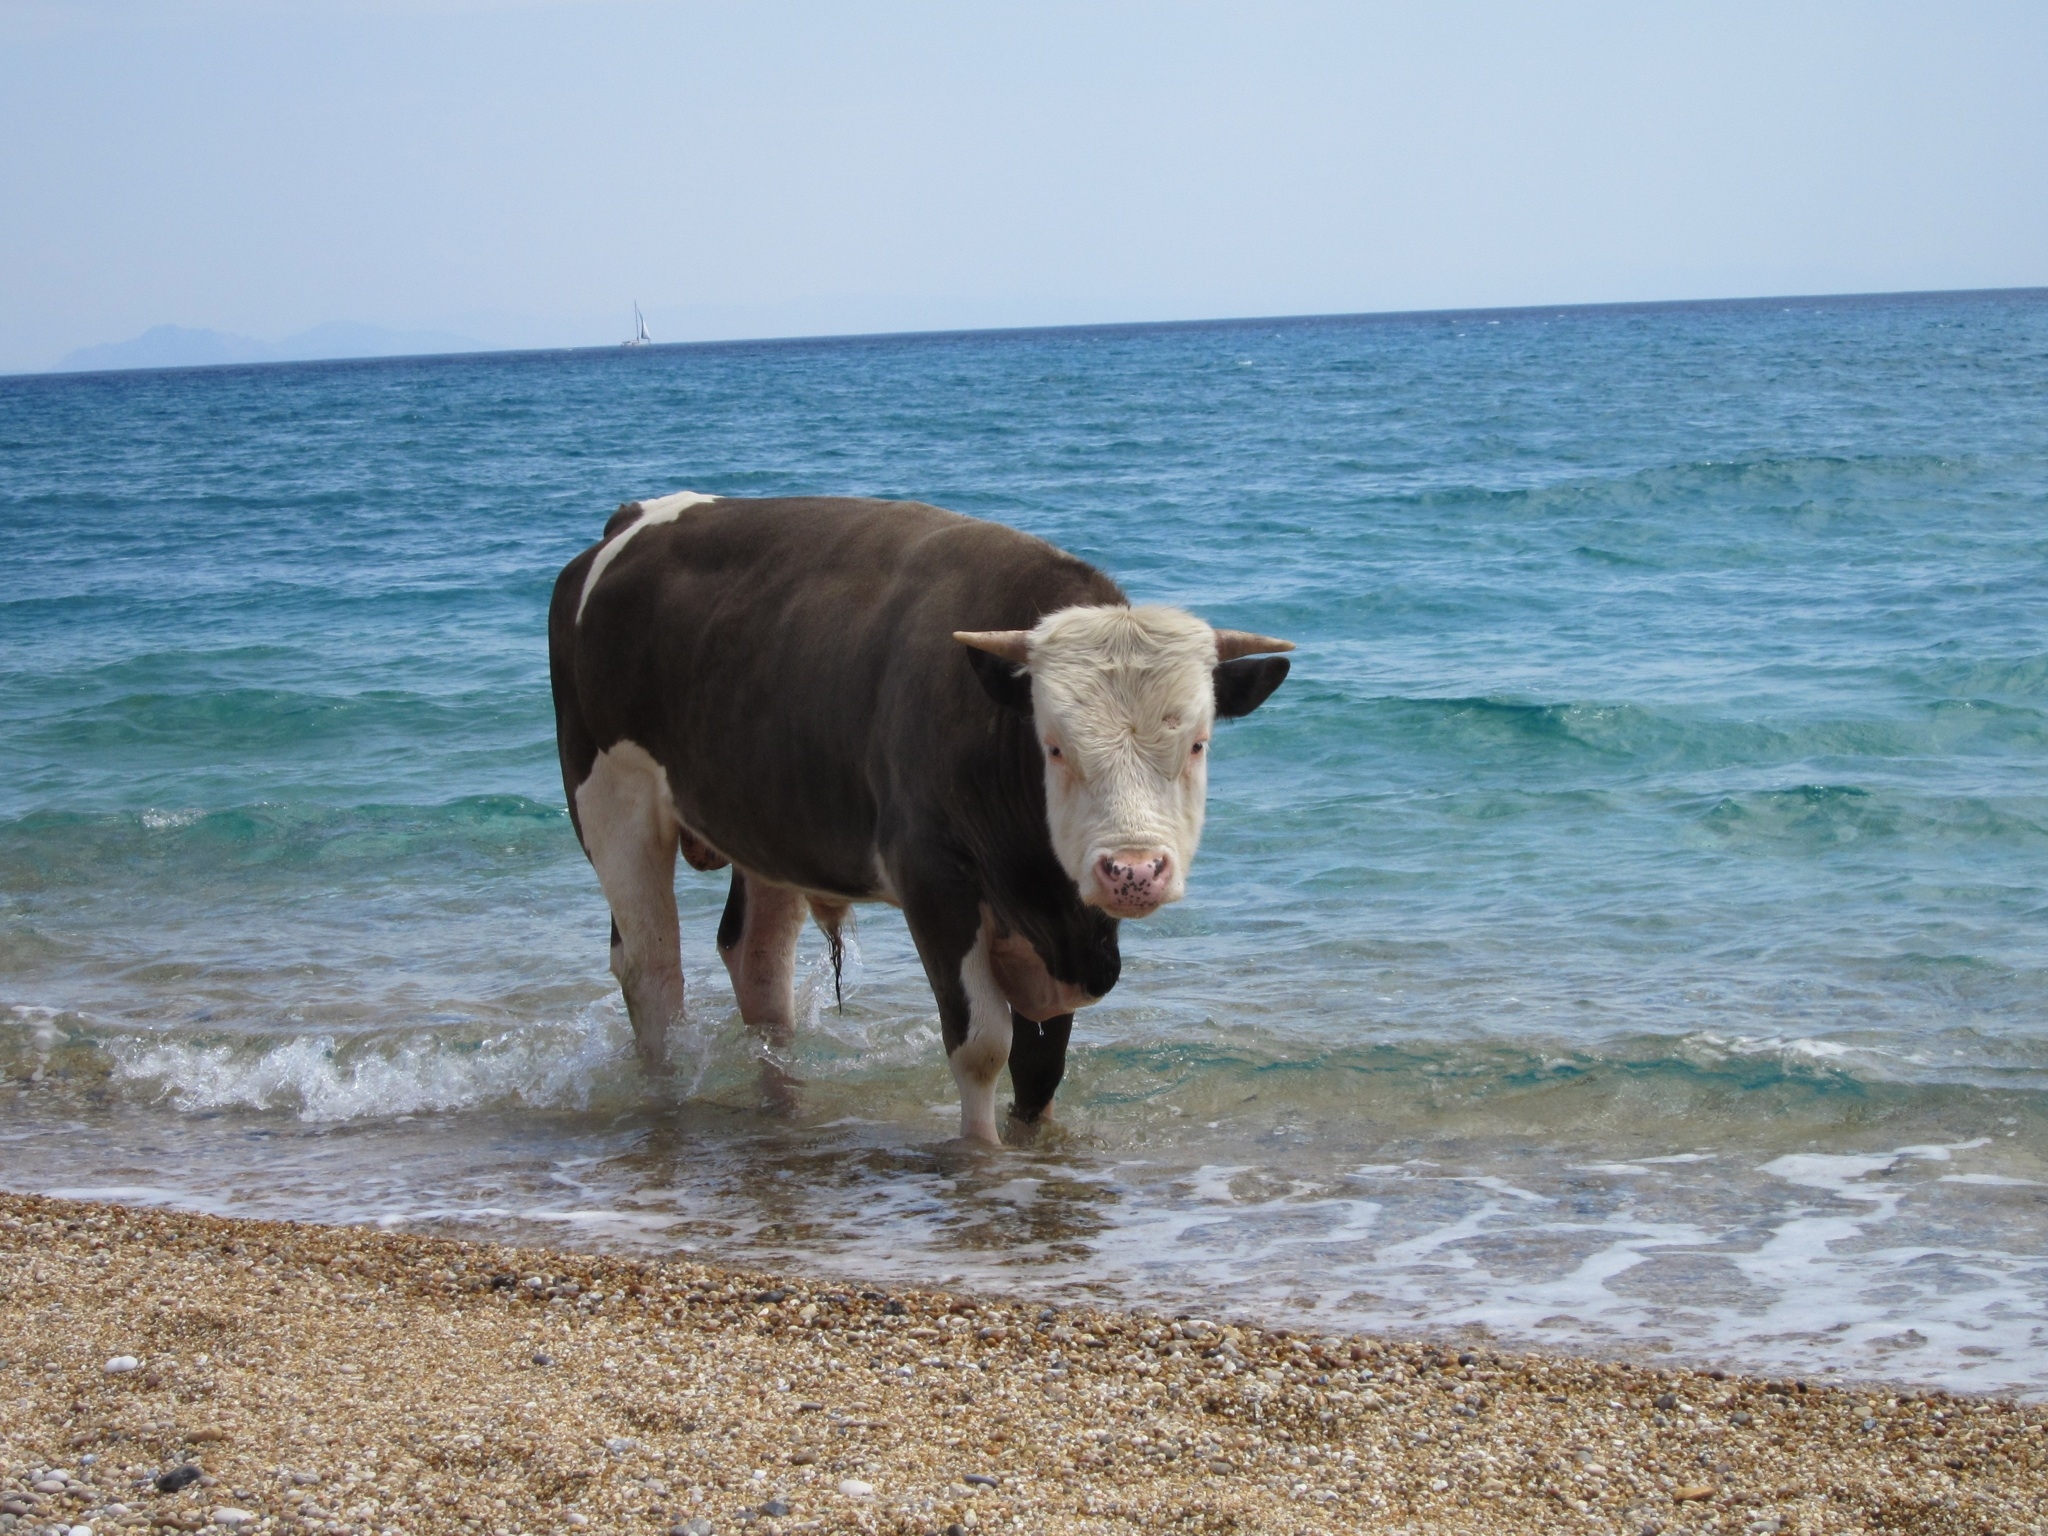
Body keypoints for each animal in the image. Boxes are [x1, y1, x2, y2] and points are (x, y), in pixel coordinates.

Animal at [548, 493, 1292, 1144]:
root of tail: (630, 521)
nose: (1132, 871)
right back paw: (665, 1102)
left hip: (768, 823)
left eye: (1197, 743)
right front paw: (980, 1157)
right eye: (1054, 745)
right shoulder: (932, 879)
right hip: (612, 805)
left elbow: (1043, 1062)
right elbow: (982, 1045)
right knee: (652, 974)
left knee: (757, 963)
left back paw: (784, 1109)